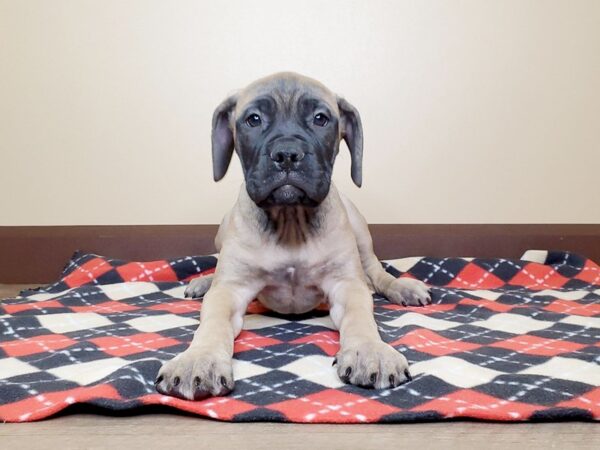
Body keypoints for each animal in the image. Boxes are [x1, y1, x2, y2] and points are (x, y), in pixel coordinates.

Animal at [156, 74, 432, 400]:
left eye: (320, 118)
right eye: (253, 119)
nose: (287, 154)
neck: (290, 221)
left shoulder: (346, 285)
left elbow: (360, 316)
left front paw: (370, 350)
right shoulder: (230, 290)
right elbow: (213, 322)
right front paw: (199, 358)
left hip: (359, 230)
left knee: (375, 274)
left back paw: (402, 287)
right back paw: (204, 282)